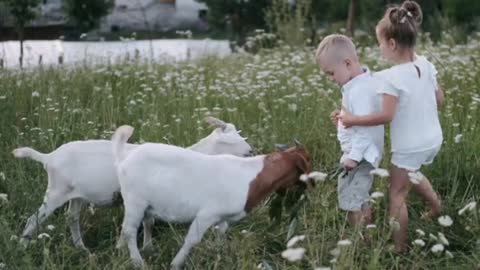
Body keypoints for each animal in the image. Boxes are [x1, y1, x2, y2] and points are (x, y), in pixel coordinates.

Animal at [12, 117, 251, 252]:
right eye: (233, 141)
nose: (251, 151)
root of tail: (48, 157)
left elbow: (148, 223)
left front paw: (145, 247)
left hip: (76, 195)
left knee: (71, 218)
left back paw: (82, 248)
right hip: (55, 192)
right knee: (34, 219)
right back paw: (22, 248)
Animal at [114, 125, 314, 268]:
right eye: (308, 160)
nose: (313, 184)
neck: (252, 176)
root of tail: (125, 156)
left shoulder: (222, 217)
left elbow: (221, 232)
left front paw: (219, 255)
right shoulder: (206, 214)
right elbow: (192, 239)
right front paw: (176, 263)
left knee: (138, 225)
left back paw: (132, 249)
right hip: (135, 201)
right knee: (129, 230)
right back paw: (138, 262)